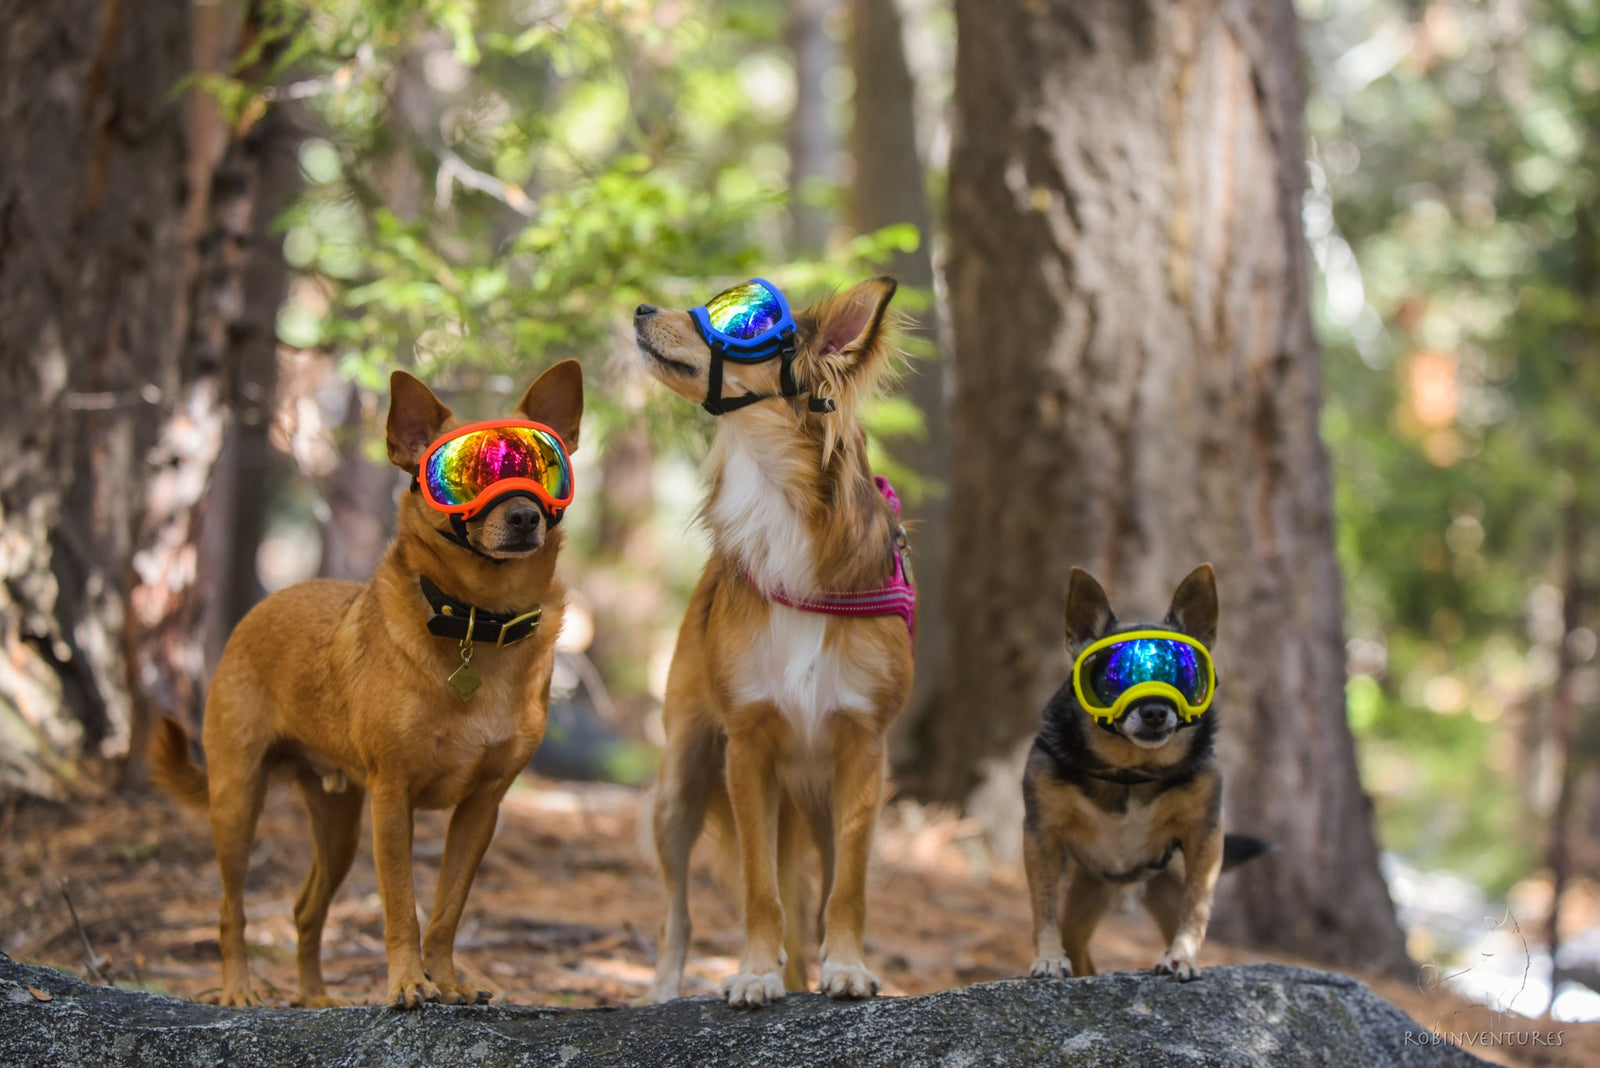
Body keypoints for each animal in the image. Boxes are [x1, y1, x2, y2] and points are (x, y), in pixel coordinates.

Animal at [151, 362, 582, 1004]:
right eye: (464, 476)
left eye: (542, 468)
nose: (526, 516)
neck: (476, 620)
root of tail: (259, 608)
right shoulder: (393, 798)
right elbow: (402, 905)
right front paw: (408, 983)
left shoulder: (481, 808)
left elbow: (447, 911)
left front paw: (446, 978)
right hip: (237, 800)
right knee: (232, 909)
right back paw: (239, 989)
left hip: (339, 823)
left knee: (305, 910)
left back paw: (315, 997)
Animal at [633, 278, 915, 1010]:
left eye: (742, 322)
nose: (642, 309)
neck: (779, 508)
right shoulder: (748, 749)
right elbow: (760, 887)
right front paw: (755, 972)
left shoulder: (863, 753)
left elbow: (847, 889)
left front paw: (847, 966)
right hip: (681, 783)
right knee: (676, 911)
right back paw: (665, 989)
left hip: (810, 803)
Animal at [1024, 562, 1260, 978]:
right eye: (1114, 676)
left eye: (1183, 674)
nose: (1153, 710)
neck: (1130, 771)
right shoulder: (1041, 836)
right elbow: (1044, 904)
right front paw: (1048, 956)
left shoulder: (1204, 836)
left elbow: (1196, 907)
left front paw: (1182, 956)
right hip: (1086, 894)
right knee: (1079, 949)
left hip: (1163, 889)